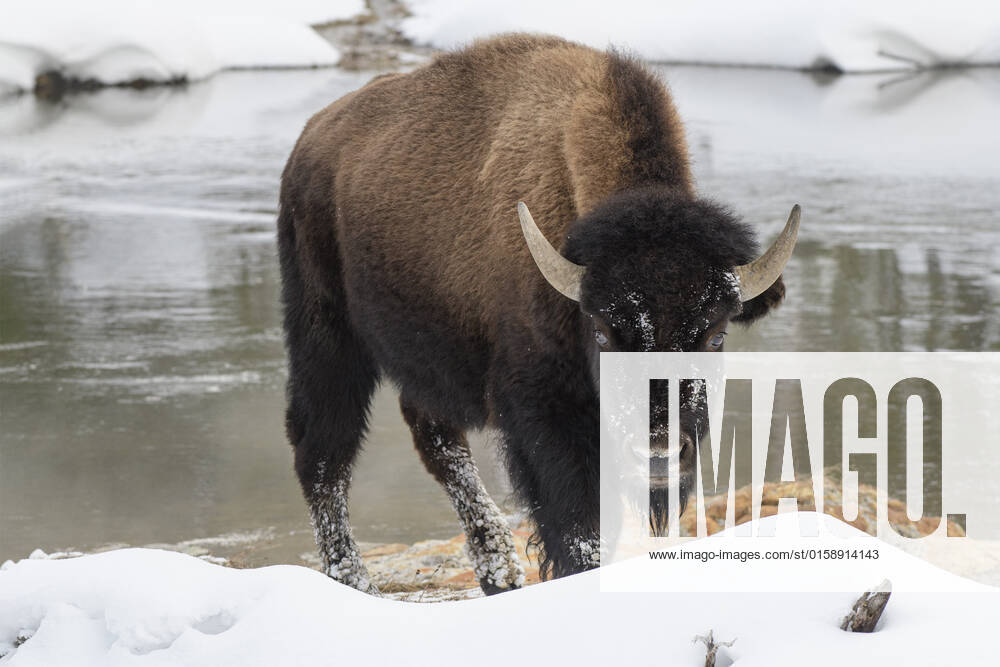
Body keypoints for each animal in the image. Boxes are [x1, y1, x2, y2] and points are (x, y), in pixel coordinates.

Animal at [277, 34, 798, 595]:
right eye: (604, 332)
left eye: (715, 335)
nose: (657, 451)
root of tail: (311, 138)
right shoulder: (544, 413)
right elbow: (576, 527)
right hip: (326, 335)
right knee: (323, 450)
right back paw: (355, 580)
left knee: (435, 439)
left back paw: (499, 571)